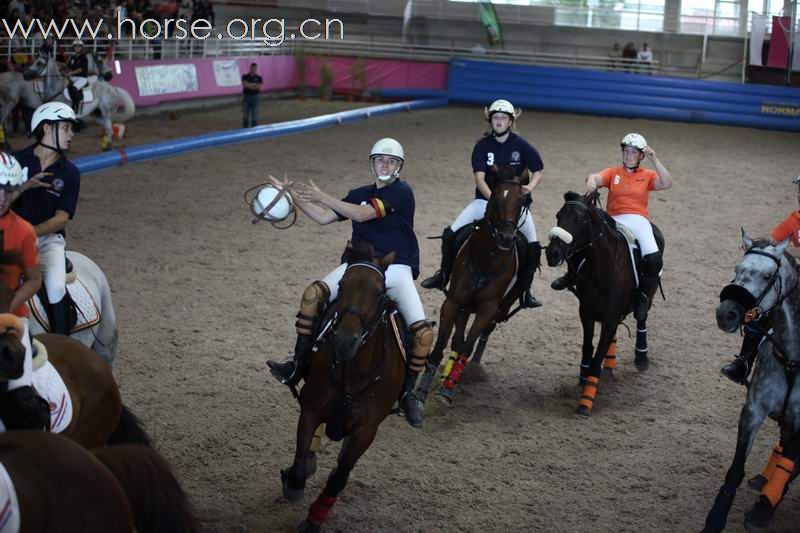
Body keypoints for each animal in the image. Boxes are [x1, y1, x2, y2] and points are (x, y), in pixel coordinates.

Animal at [282, 242, 406, 532]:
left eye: (379, 291)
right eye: (342, 283)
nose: (346, 341)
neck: (354, 373)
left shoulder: (367, 429)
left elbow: (339, 477)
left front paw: (314, 518)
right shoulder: (311, 408)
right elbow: (300, 458)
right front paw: (294, 484)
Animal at [416, 166, 528, 404]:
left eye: (521, 201)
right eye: (495, 199)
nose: (506, 238)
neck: (487, 259)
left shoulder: (487, 309)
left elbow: (468, 345)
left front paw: (448, 388)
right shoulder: (453, 303)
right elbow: (441, 345)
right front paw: (421, 390)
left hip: (500, 308)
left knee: (481, 336)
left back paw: (470, 369)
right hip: (465, 307)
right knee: (457, 339)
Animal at [548, 190, 664, 416]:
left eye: (580, 219)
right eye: (558, 215)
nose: (552, 253)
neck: (601, 268)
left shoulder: (610, 317)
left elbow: (596, 358)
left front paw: (586, 402)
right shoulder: (586, 312)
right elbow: (588, 348)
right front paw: (583, 378)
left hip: (648, 289)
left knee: (642, 317)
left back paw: (641, 357)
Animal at [704, 233, 800, 532]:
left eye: (768, 275)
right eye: (737, 268)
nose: (726, 313)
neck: (793, 359)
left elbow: (789, 465)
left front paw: (763, 509)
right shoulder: (754, 411)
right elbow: (736, 470)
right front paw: (715, 518)